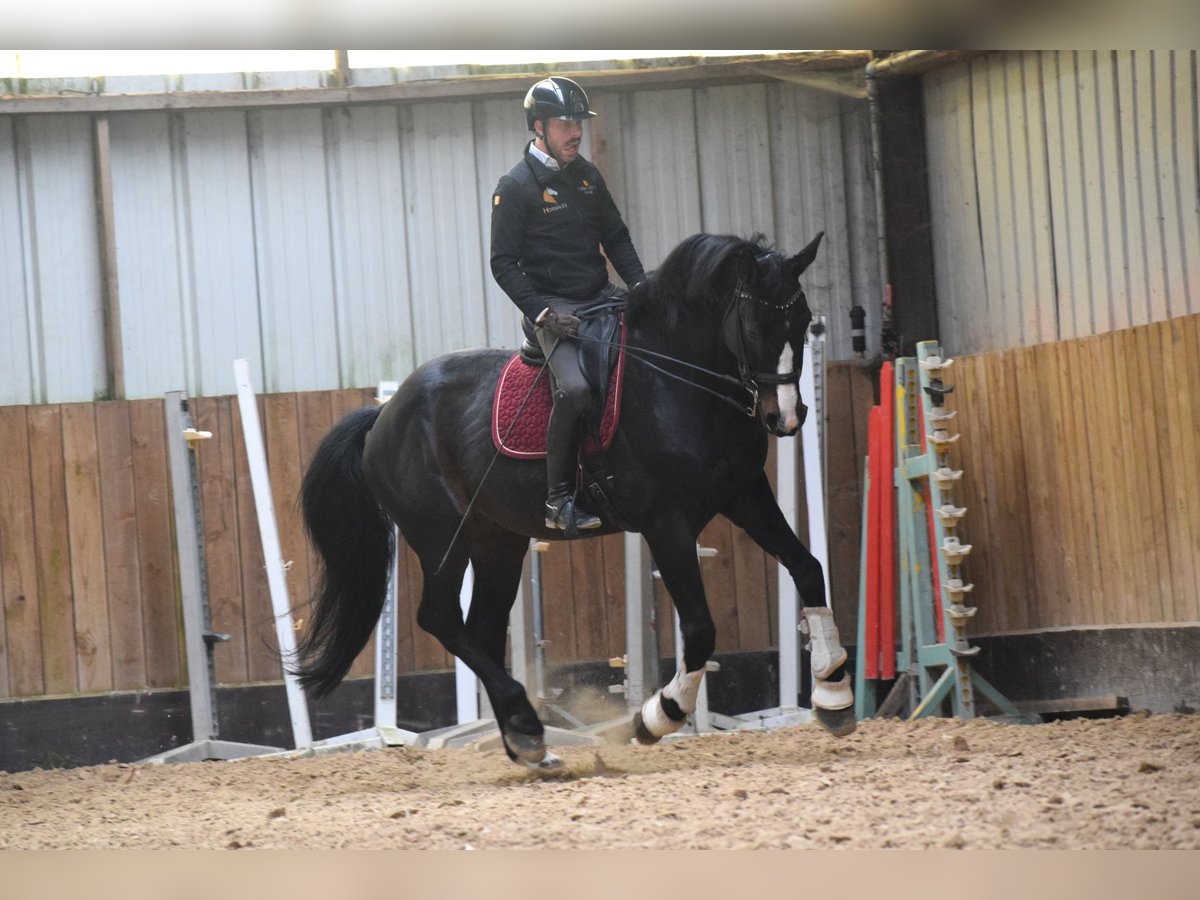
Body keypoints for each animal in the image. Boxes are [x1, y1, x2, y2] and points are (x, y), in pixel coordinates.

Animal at [295, 230, 859, 768]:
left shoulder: (744, 494)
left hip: (497, 540)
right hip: (441, 538)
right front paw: (658, 715)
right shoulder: (666, 523)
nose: (785, 417)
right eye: (755, 325)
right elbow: (700, 630)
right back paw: (527, 726)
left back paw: (527, 742)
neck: (676, 380)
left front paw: (834, 693)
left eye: (802, 321)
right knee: (440, 619)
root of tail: (382, 418)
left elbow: (808, 568)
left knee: (480, 629)